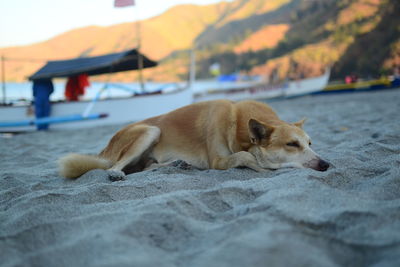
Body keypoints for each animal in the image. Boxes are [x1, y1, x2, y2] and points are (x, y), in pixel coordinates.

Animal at [58, 99, 328, 181]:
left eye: (310, 144)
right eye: (292, 144)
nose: (326, 165)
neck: (238, 124)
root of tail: (106, 149)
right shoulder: (217, 161)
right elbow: (245, 155)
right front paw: (262, 166)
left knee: (144, 167)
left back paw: (177, 164)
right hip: (150, 131)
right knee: (117, 167)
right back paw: (115, 173)